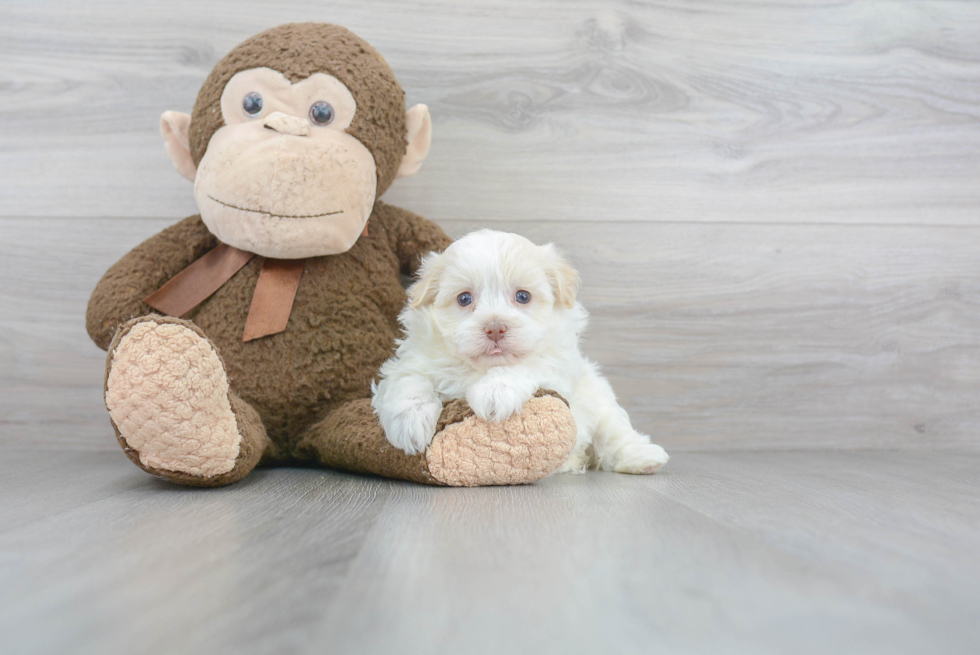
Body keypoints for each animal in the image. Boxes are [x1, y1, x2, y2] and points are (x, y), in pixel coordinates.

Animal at [372, 228, 668, 474]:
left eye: (523, 296)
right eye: (464, 298)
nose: (495, 328)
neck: (479, 369)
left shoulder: (557, 364)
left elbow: (525, 366)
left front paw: (494, 391)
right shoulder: (411, 361)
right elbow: (409, 380)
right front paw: (410, 423)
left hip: (600, 399)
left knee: (613, 435)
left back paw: (643, 458)